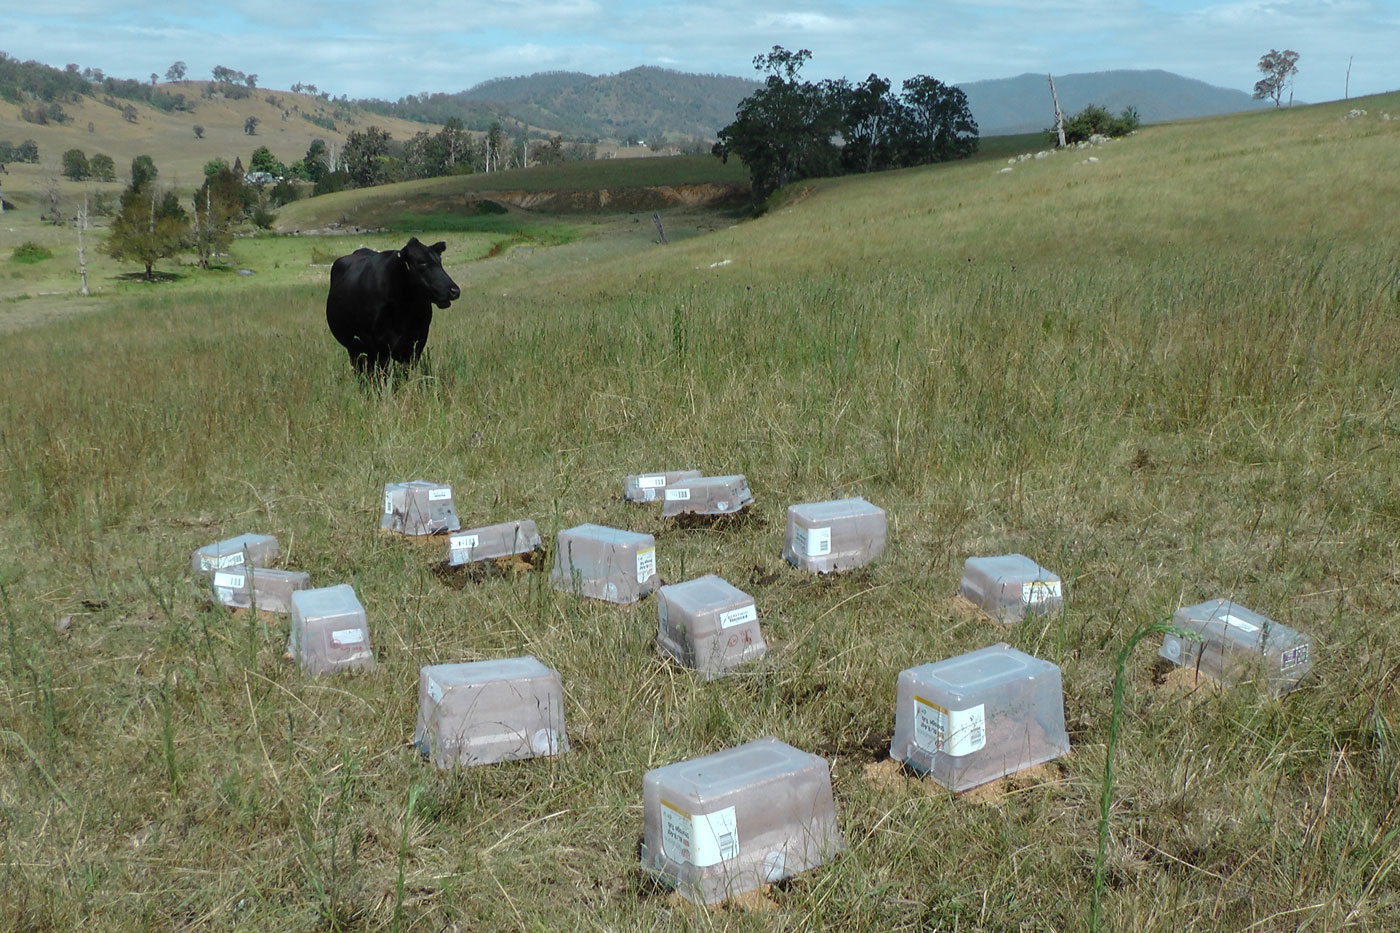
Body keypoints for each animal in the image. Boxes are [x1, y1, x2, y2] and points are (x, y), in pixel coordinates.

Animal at [324, 233, 462, 372]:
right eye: (422, 262)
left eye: (440, 262)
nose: (454, 291)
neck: (403, 310)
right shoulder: (378, 347)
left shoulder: (416, 345)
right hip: (354, 348)